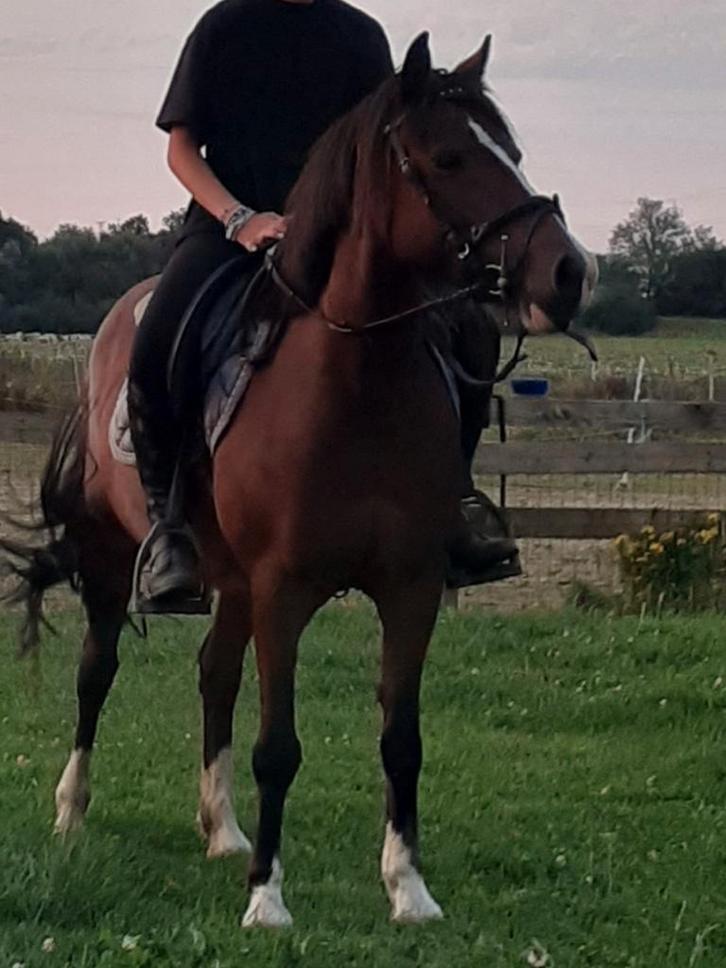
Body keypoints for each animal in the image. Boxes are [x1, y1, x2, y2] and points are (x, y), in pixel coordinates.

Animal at [4, 34, 596, 926]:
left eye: (513, 153)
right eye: (449, 158)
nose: (569, 272)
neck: (353, 384)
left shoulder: (412, 585)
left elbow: (401, 740)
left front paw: (408, 888)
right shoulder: (283, 587)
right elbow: (277, 746)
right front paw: (268, 902)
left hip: (229, 582)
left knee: (213, 674)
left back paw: (222, 829)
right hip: (113, 559)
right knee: (95, 672)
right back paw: (73, 809)